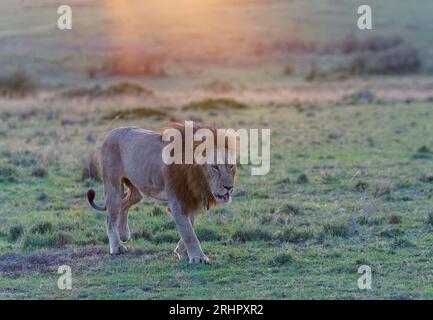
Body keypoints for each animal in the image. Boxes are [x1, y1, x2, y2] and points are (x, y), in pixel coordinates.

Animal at [87, 121, 236, 264]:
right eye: (215, 167)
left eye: (231, 166)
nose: (229, 187)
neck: (196, 177)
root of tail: (111, 133)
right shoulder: (177, 202)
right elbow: (188, 232)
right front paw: (198, 257)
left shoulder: (190, 198)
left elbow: (190, 226)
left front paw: (181, 251)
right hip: (114, 185)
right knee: (111, 215)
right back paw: (117, 247)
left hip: (138, 190)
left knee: (124, 204)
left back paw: (123, 234)